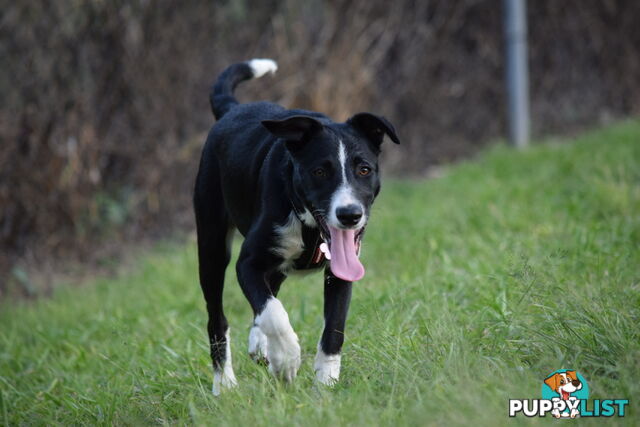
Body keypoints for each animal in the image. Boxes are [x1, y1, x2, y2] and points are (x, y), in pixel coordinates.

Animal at [192, 58, 398, 396]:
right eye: (319, 171)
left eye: (364, 169)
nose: (349, 215)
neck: (310, 228)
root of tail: (233, 109)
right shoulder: (247, 262)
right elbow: (274, 313)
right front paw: (287, 361)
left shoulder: (342, 271)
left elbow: (334, 328)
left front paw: (325, 383)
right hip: (211, 246)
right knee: (218, 318)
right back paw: (225, 383)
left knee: (268, 293)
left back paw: (259, 346)